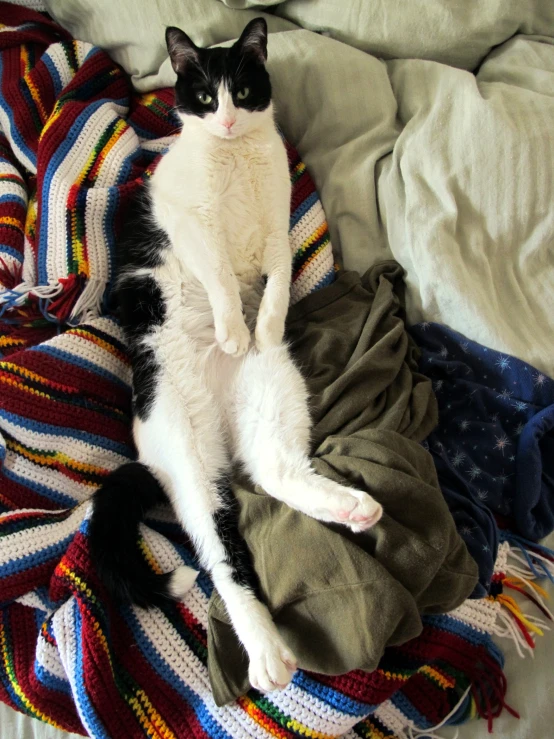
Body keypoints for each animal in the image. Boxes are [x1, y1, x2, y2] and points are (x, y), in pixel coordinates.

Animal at [89, 18, 384, 700]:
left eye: (242, 91)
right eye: (203, 96)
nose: (224, 121)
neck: (235, 159)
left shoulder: (277, 224)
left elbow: (275, 279)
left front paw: (264, 326)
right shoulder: (186, 220)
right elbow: (221, 273)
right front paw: (230, 330)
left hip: (271, 398)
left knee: (273, 471)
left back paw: (351, 508)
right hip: (190, 460)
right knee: (222, 559)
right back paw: (268, 655)